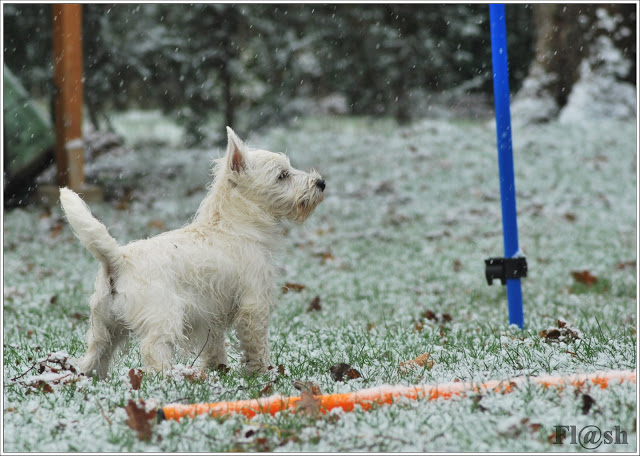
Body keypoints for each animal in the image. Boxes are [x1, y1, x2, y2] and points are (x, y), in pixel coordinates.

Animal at [60, 127, 324, 378]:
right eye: (282, 175)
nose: (320, 183)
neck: (234, 225)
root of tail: (118, 260)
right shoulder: (254, 302)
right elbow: (256, 343)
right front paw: (262, 372)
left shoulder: (211, 316)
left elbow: (214, 346)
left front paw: (217, 369)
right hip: (163, 319)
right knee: (153, 350)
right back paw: (167, 380)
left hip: (104, 328)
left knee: (94, 356)